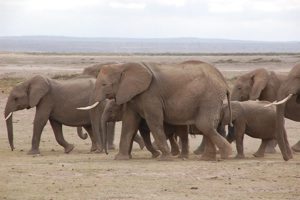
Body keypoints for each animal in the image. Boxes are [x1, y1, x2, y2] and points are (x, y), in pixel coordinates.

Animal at [79, 61, 232, 161]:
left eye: (104, 84)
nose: (105, 153)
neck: (123, 65)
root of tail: (223, 80)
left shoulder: (151, 95)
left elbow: (154, 121)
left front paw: (165, 158)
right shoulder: (132, 94)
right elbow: (129, 122)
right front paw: (120, 158)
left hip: (209, 96)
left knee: (204, 124)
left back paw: (226, 154)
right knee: (205, 126)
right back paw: (206, 158)